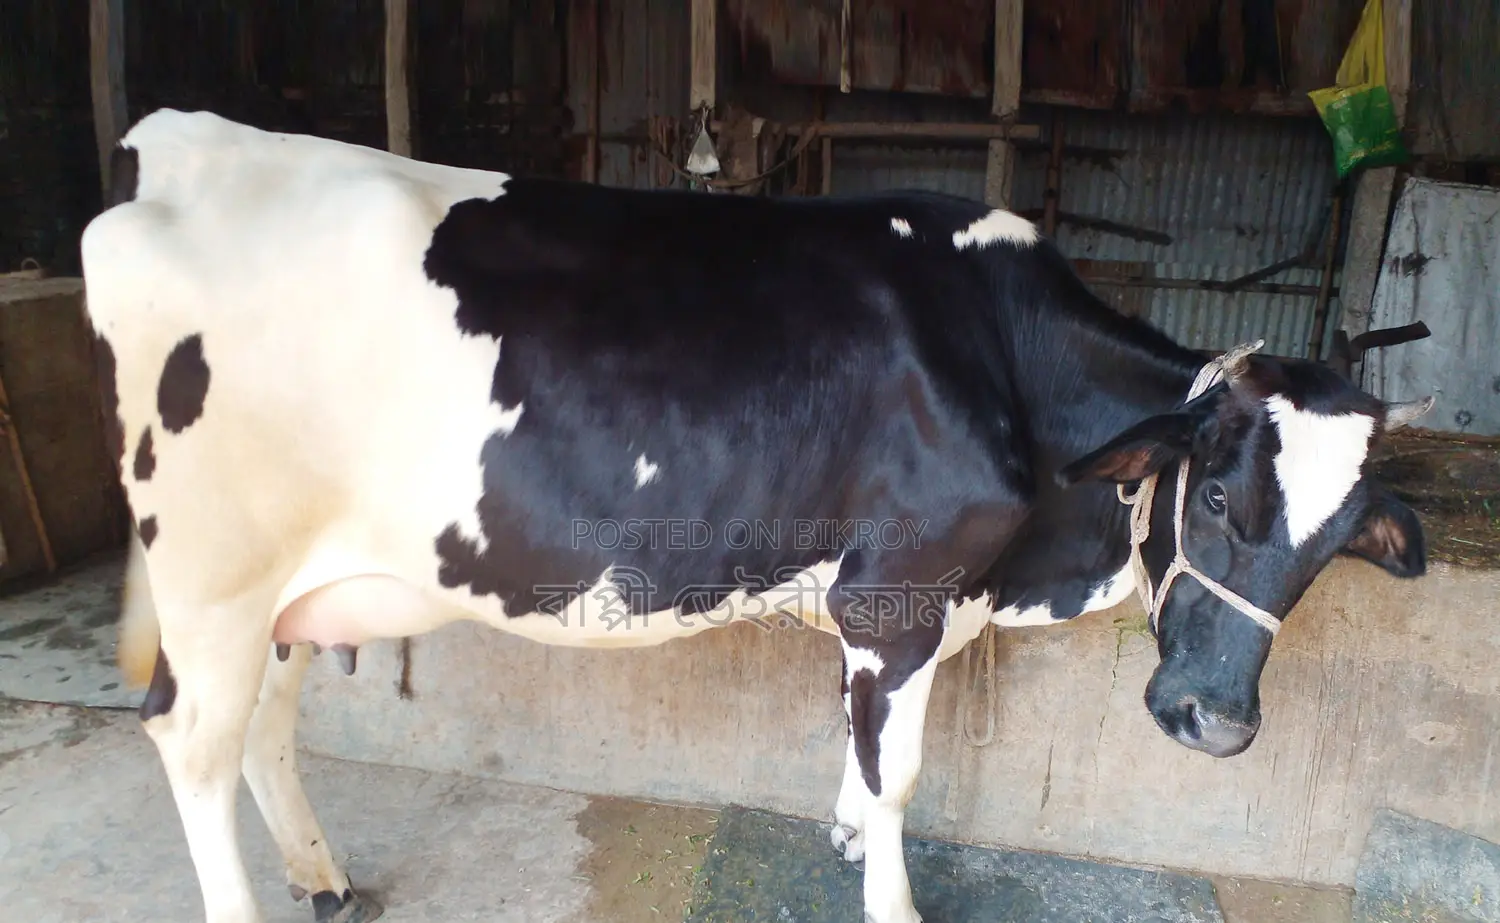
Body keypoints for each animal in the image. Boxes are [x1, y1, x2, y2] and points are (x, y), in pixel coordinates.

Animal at [81, 108, 1431, 923]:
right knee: (192, 740)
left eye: (1333, 548)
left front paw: (842, 832)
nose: (1215, 723)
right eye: (1219, 490)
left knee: (269, 724)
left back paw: (325, 879)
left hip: (294, 583)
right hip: (213, 576)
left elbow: (858, 746)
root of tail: (188, 147)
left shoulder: (888, 605)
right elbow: (899, 770)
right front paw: (890, 893)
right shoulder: (897, 589)